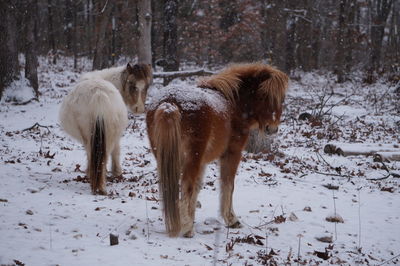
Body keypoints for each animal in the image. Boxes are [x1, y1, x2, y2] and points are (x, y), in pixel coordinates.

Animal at [59, 63, 152, 194]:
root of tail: (99, 94)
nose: (138, 108)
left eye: (147, 86)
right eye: (131, 84)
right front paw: (117, 173)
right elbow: (116, 150)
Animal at [146, 62, 288, 237]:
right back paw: (187, 229)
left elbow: (197, 188)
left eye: (281, 99)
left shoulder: (202, 162)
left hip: (166, 157)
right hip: (192, 157)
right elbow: (228, 184)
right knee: (186, 184)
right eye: (262, 96)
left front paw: (191, 217)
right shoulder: (232, 153)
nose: (272, 129)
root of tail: (168, 104)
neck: (234, 105)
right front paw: (231, 219)